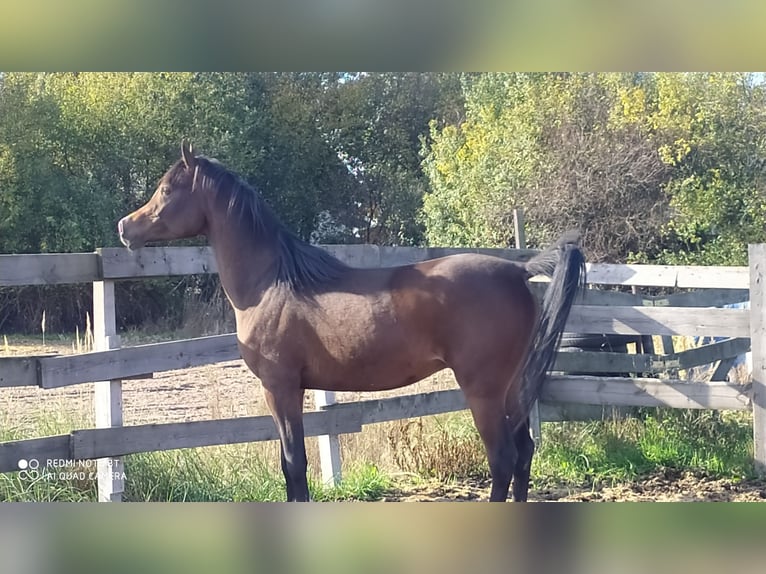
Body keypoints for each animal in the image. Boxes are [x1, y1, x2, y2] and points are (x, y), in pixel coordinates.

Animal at [118, 141, 586, 502]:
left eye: (166, 189)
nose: (125, 228)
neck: (270, 283)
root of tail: (517, 271)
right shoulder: (291, 390)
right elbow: (291, 464)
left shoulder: (279, 388)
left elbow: (294, 464)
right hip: (512, 389)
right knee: (524, 454)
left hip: (483, 391)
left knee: (503, 460)